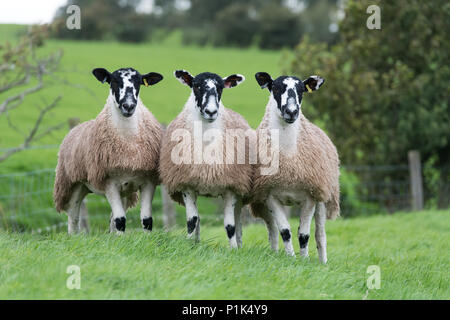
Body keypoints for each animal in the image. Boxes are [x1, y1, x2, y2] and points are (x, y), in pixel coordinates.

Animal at [53, 67, 164, 234]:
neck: (128, 145)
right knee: (73, 219)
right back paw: (74, 236)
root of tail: (75, 128)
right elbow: (120, 220)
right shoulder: (109, 182)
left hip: (123, 190)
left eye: (139, 82)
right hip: (72, 184)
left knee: (112, 219)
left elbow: (146, 220)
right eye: (114, 81)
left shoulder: (148, 181)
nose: (128, 106)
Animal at [248, 72, 340, 262]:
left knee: (320, 234)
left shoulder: (310, 197)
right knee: (272, 231)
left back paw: (323, 262)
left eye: (302, 90)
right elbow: (285, 232)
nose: (291, 112)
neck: (289, 159)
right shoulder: (270, 196)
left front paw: (304, 261)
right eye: (275, 88)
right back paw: (274, 253)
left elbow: (304, 235)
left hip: (323, 194)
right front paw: (290, 258)